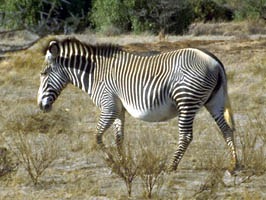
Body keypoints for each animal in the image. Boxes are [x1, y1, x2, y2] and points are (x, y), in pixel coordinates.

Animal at [37, 37, 239, 172]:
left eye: (44, 73)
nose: (41, 106)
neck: (94, 73)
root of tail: (214, 60)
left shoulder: (109, 106)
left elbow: (97, 136)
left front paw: (112, 162)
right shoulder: (118, 109)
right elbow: (119, 138)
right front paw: (123, 163)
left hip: (186, 101)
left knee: (186, 136)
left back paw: (171, 166)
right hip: (214, 101)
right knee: (226, 129)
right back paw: (234, 164)